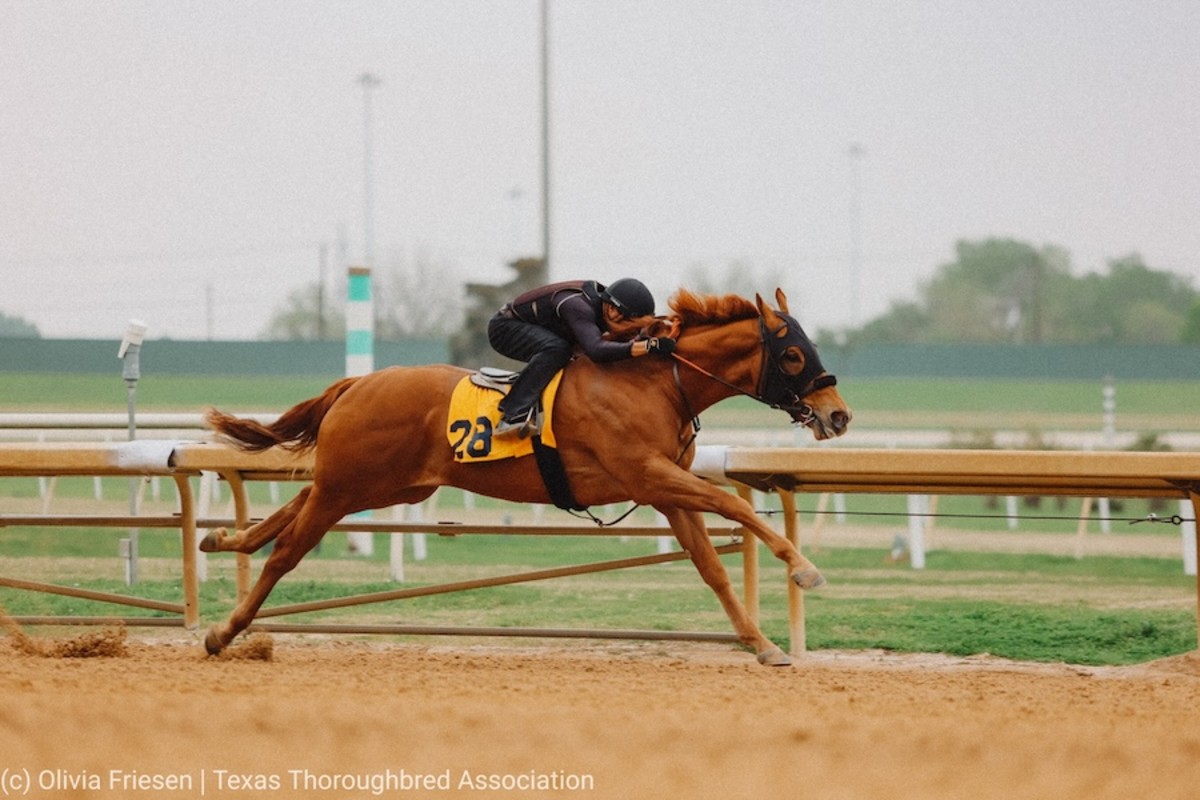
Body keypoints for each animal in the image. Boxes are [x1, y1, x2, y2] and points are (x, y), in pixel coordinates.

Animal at [199, 291, 854, 666]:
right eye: (793, 355)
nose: (838, 415)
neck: (656, 381)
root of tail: (357, 383)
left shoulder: (664, 488)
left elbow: (712, 567)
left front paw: (763, 645)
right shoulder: (650, 475)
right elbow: (737, 508)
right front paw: (805, 568)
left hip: (387, 483)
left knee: (293, 507)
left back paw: (224, 538)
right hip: (354, 483)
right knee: (288, 550)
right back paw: (223, 632)